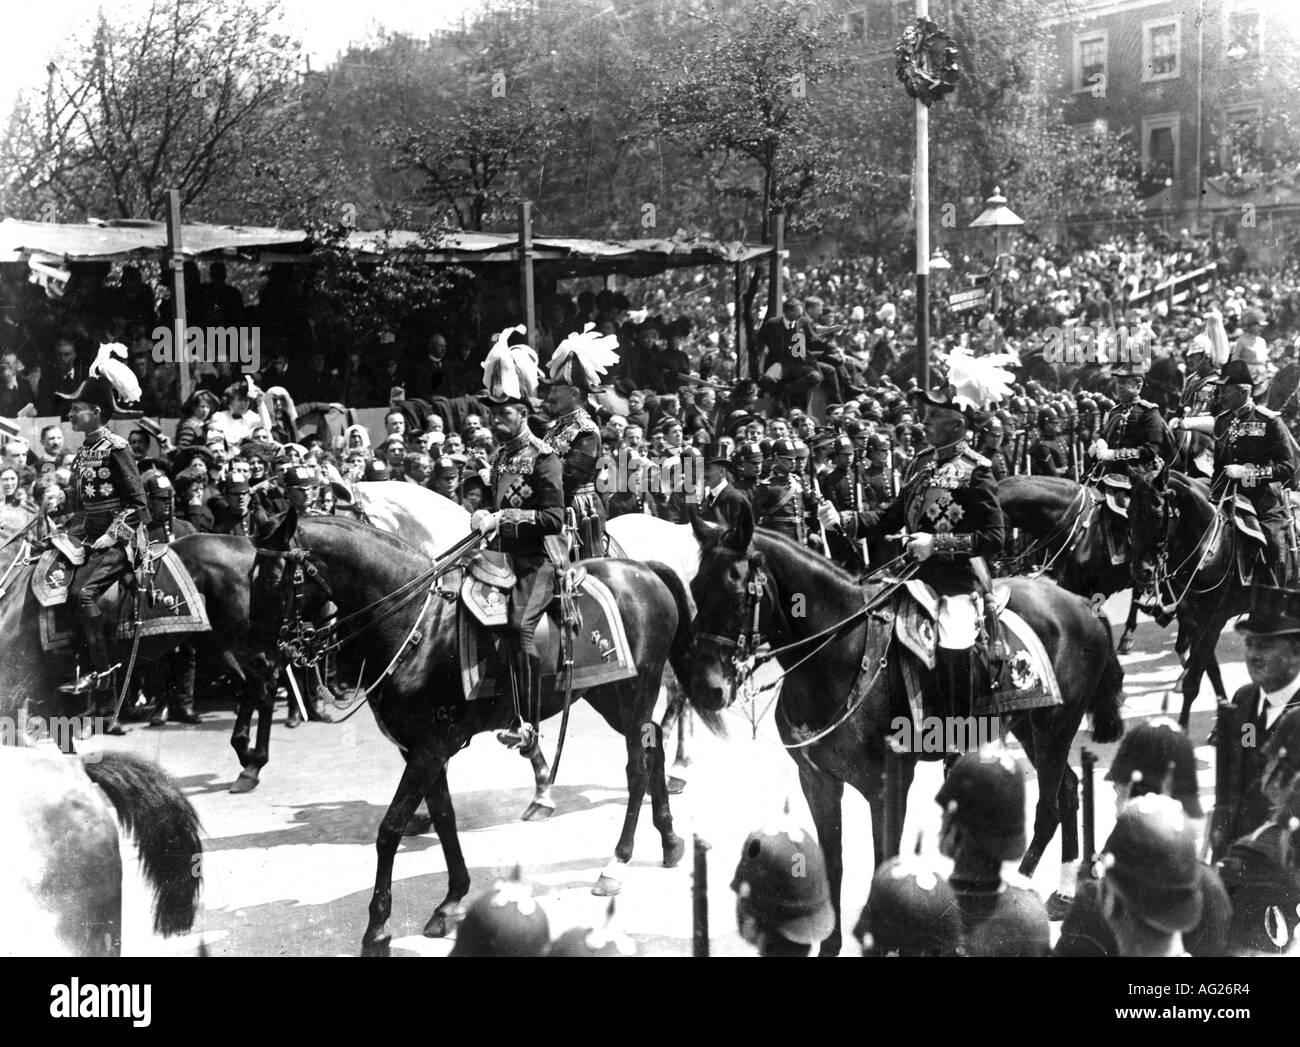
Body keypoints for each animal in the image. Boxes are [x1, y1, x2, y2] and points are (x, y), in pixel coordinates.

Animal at [2, 530, 287, 790]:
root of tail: (248, 542)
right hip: (217, 643)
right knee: (250, 686)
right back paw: (245, 753)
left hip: (241, 641)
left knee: (264, 689)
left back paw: (253, 766)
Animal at [252, 509, 696, 952]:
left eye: (272, 579)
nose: (260, 661)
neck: (418, 624)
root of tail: (645, 569)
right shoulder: (422, 749)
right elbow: (444, 817)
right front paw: (451, 902)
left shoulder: (429, 748)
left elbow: (390, 829)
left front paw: (377, 929)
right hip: (609, 696)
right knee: (653, 746)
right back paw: (670, 840)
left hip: (636, 691)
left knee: (637, 768)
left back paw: (616, 863)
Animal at [686, 512, 1123, 957]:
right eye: (694, 589)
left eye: (737, 593)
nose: (706, 688)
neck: (839, 655)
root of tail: (1081, 603)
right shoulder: (818, 780)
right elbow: (833, 860)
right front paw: (831, 943)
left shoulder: (888, 783)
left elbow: (885, 858)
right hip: (1030, 728)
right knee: (1067, 791)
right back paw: (1064, 893)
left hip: (1055, 727)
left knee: (1049, 806)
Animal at [1133, 470, 1253, 728]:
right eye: (1129, 512)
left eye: (1158, 513)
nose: (1141, 572)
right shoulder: (1195, 621)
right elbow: (1211, 671)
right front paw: (1223, 715)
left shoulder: (1212, 622)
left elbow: (1194, 681)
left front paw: (1182, 727)